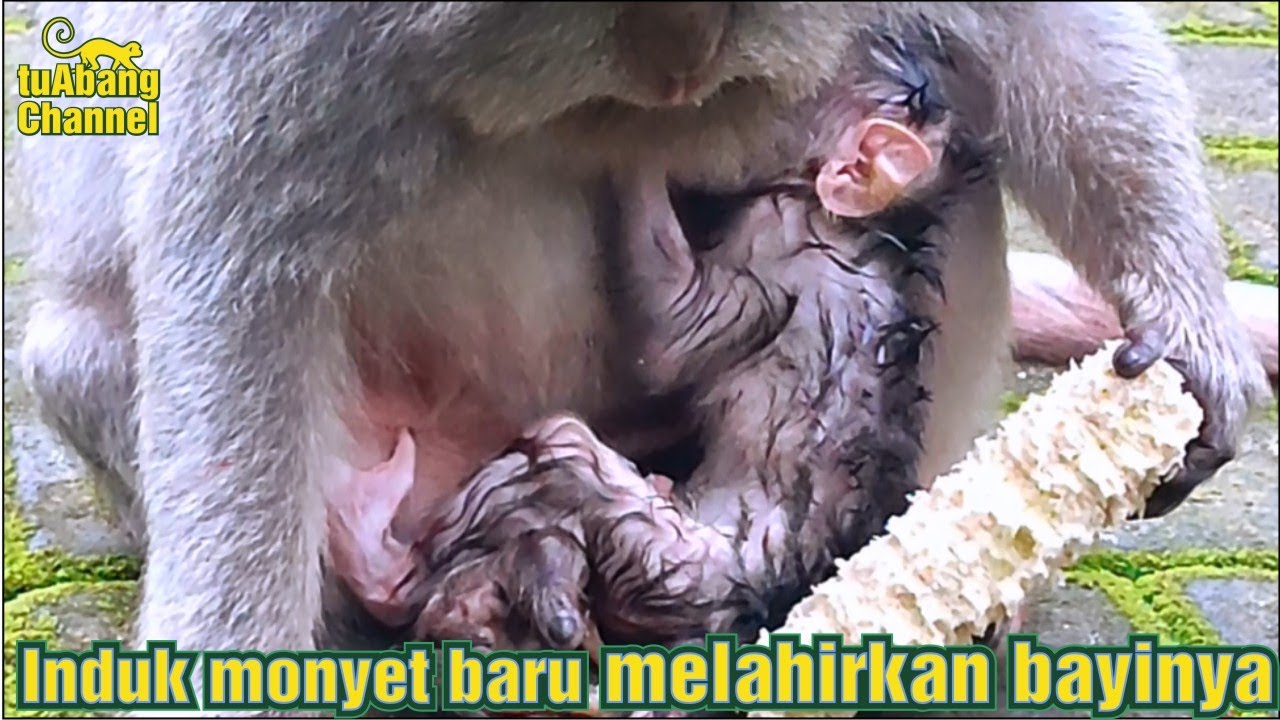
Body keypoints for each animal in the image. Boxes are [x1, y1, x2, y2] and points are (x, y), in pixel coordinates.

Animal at [17, 2, 1270, 689]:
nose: (680, 65)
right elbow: (233, 244)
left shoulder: (781, 261)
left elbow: (1031, 31)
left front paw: (1187, 328)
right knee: (83, 354)